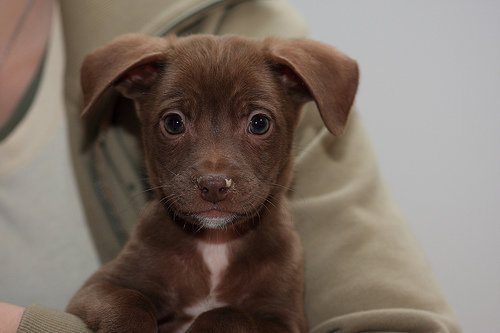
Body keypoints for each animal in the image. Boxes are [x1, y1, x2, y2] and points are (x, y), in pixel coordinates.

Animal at [66, 34, 358, 332]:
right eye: (173, 123)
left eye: (259, 123)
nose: (214, 186)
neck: (215, 243)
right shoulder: (98, 286)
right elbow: (130, 300)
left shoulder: (286, 320)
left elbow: (228, 313)